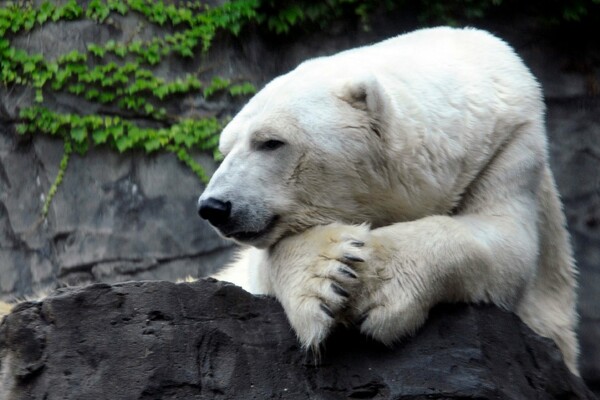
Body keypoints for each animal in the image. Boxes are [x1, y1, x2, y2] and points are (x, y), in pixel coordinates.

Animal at [199, 26, 580, 374]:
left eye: (271, 142)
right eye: (226, 149)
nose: (214, 207)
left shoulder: (508, 147)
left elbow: (506, 244)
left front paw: (377, 282)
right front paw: (330, 275)